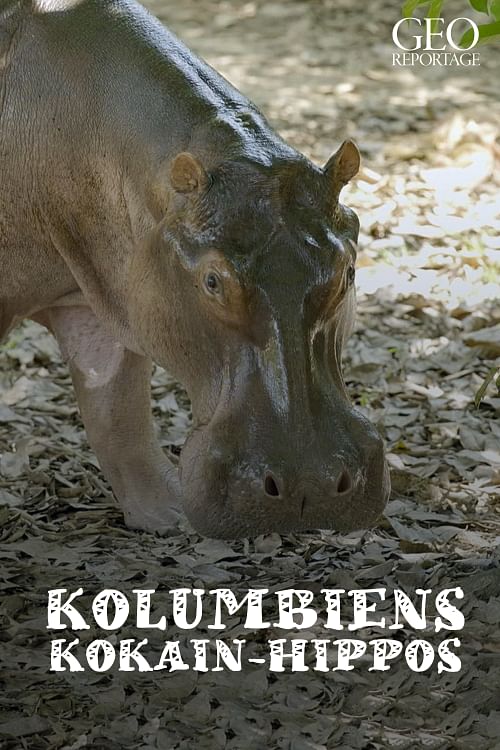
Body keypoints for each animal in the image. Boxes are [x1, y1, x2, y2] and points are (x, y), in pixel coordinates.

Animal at [0, 0, 390, 538]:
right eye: (211, 280)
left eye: (348, 271)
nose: (309, 485)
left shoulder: (104, 299)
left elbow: (117, 413)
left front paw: (168, 517)